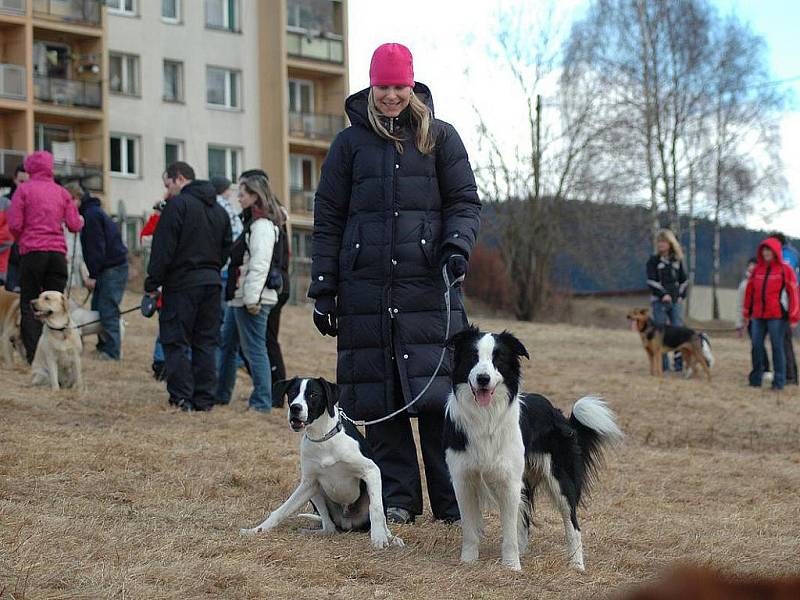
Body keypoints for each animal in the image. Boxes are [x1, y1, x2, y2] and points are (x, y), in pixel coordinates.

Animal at [236, 378, 400, 552]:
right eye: (292, 393)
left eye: (313, 394)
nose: (295, 408)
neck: (322, 438)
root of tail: (347, 524)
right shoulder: (309, 482)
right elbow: (282, 510)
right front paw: (256, 530)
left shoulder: (371, 471)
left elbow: (375, 509)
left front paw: (379, 538)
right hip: (316, 492)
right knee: (329, 527)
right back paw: (311, 532)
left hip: (377, 493)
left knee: (380, 515)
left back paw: (391, 538)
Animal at [446, 328, 620, 572]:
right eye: (473, 356)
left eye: (498, 359)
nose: (483, 379)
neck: (486, 416)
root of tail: (557, 412)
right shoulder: (463, 478)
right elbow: (470, 528)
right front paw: (468, 561)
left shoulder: (509, 482)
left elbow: (509, 530)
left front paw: (511, 566)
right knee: (525, 519)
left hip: (560, 480)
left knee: (573, 523)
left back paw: (576, 564)